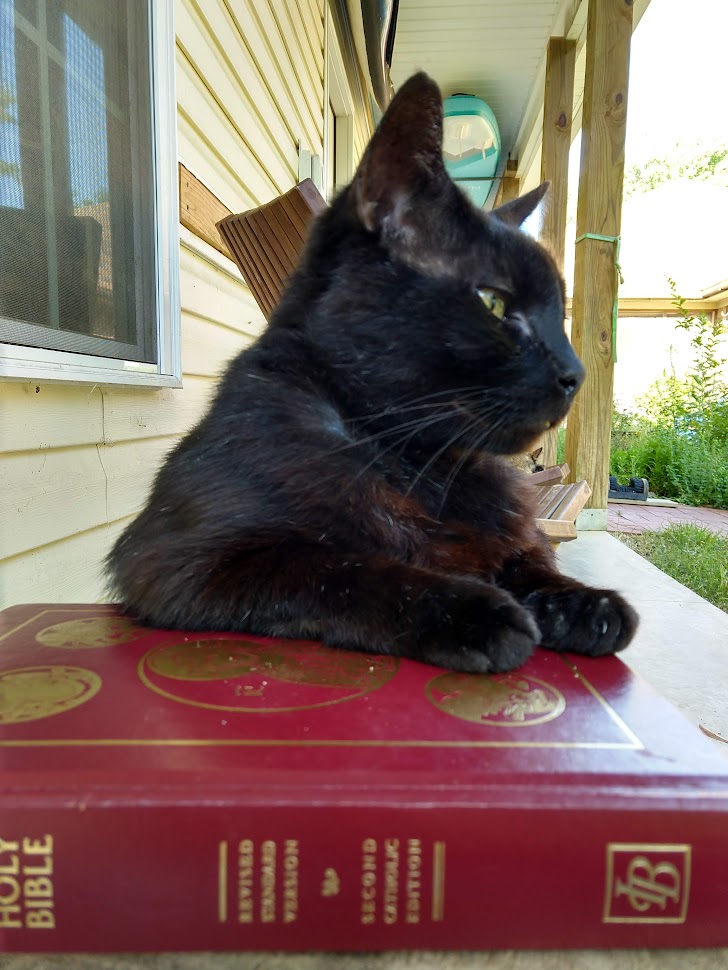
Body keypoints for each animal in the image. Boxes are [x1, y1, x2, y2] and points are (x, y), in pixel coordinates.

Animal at [108, 72, 636, 668]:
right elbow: (344, 569)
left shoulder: (513, 533)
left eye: (557, 313)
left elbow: (530, 559)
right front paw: (475, 611)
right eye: (494, 303)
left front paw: (585, 604)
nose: (576, 374)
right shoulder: (180, 562)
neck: (417, 462)